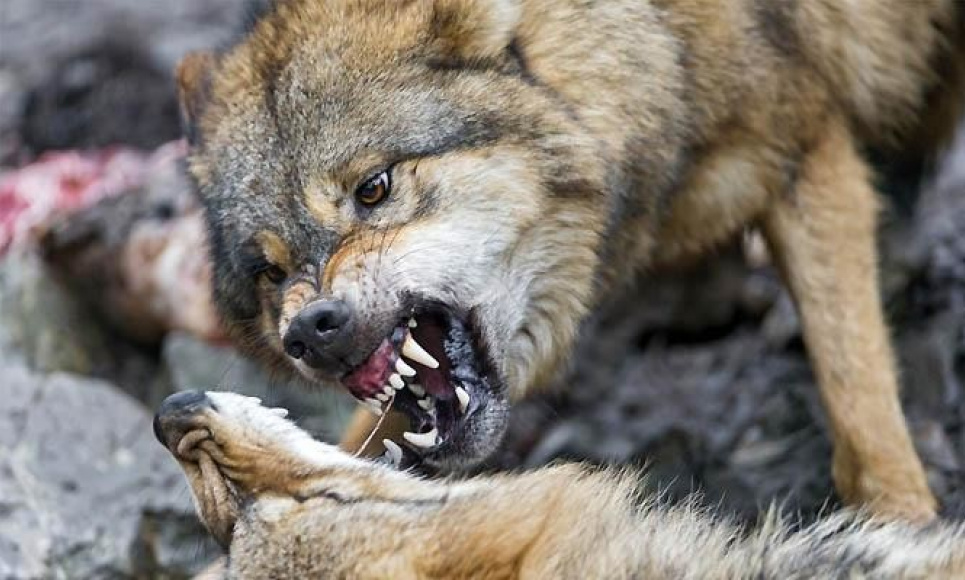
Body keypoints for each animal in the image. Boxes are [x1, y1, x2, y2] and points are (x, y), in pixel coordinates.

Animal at [175, 0, 964, 520]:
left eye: (373, 188)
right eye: (270, 272)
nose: (310, 330)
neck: (651, 43)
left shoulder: (806, 144)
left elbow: (856, 391)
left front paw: (902, 522)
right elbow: (358, 452)